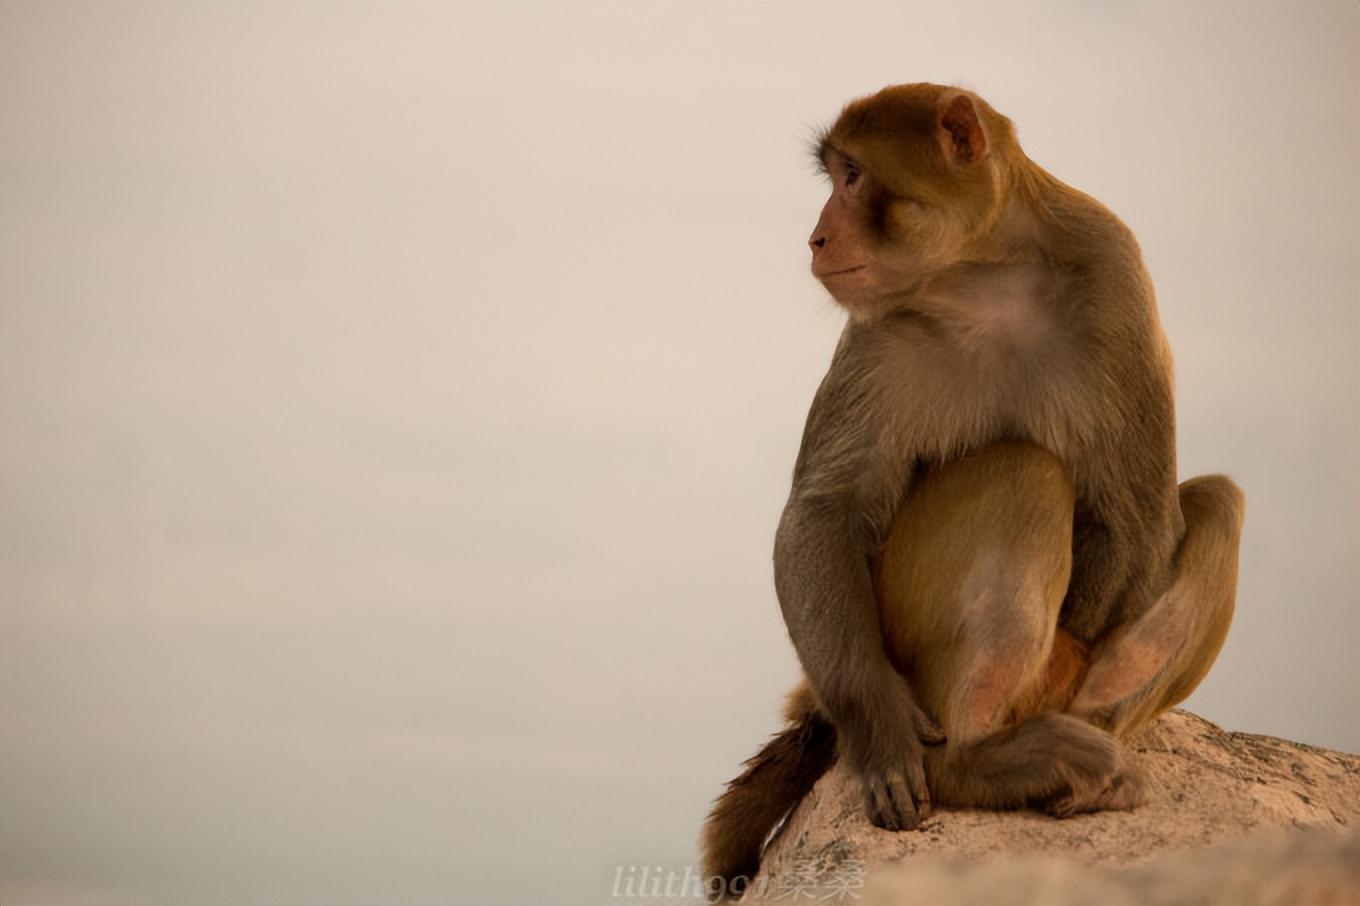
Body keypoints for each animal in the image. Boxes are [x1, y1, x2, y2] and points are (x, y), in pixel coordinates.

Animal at [701, 84, 1245, 897]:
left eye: (853, 175)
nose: (817, 238)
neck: (982, 275)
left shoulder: (1114, 270)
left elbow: (1140, 518)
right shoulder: (880, 332)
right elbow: (825, 512)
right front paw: (884, 734)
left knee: (1212, 505)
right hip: (908, 641)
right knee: (1022, 470)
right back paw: (972, 761)